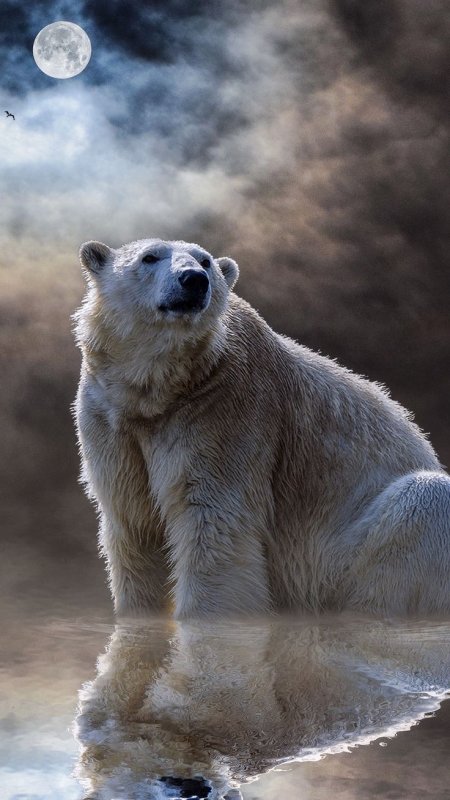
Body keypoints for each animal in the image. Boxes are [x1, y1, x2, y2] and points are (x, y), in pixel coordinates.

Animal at [73, 237, 450, 618]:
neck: (161, 391)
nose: (194, 280)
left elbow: (214, 524)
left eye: (205, 261)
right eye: (149, 257)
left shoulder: (226, 412)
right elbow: (134, 525)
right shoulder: (110, 419)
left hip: (342, 556)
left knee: (423, 500)